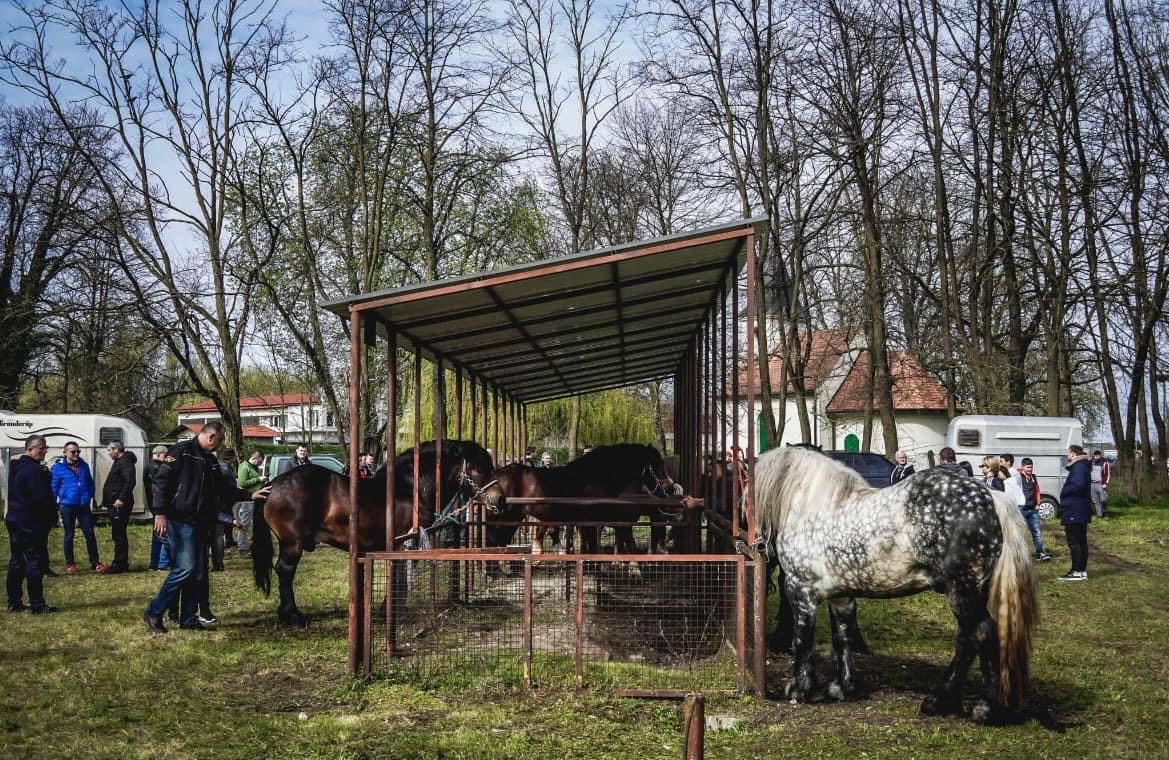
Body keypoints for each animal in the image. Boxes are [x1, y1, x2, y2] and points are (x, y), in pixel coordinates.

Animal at [251, 434, 493, 626]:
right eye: (479, 469)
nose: (497, 499)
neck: (409, 489)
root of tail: (271, 485)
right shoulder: (404, 543)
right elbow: (398, 578)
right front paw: (390, 611)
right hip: (292, 543)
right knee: (285, 571)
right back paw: (292, 616)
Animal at [752, 446, 1038, 720]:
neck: (813, 508)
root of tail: (992, 497)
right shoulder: (840, 597)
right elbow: (842, 637)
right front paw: (843, 688)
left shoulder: (801, 593)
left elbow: (803, 640)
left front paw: (800, 689)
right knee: (967, 641)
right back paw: (945, 702)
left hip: (962, 593)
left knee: (979, 635)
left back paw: (980, 708)